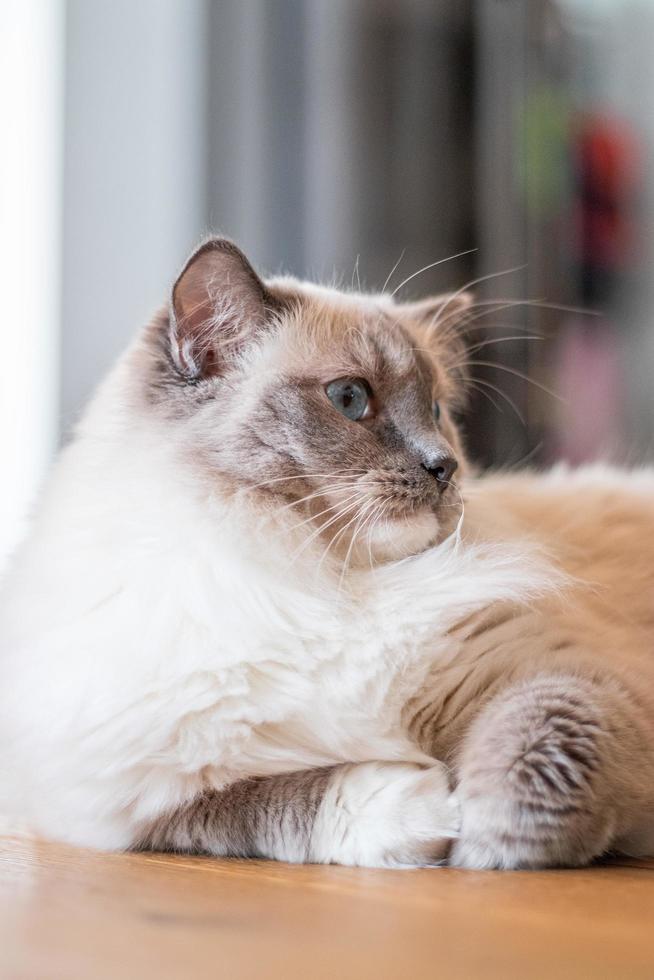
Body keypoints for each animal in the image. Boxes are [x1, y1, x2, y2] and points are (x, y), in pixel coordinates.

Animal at [1, 241, 654, 868]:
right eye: (349, 399)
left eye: (437, 411)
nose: (443, 466)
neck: (307, 572)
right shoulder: (135, 804)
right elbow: (279, 803)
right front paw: (429, 810)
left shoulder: (556, 677)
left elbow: (532, 757)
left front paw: (481, 845)